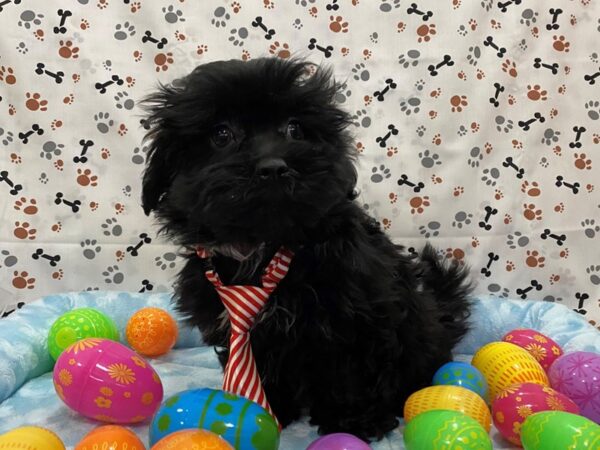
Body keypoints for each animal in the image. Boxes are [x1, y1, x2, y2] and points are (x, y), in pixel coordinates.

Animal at [142, 56, 474, 440]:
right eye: (222, 134)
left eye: (295, 129)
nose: (273, 167)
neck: (263, 246)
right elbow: (258, 364)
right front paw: (269, 408)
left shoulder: (359, 315)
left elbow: (353, 370)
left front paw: (353, 421)